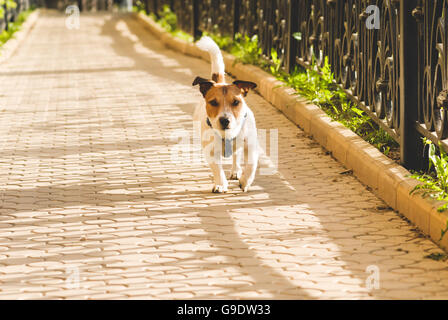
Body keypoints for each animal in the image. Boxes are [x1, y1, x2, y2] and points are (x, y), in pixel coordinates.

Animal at [192, 36, 260, 194]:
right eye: (213, 102)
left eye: (236, 102)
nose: (224, 120)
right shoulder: (211, 151)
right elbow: (217, 169)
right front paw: (220, 184)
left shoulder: (251, 146)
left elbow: (251, 165)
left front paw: (245, 181)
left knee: (236, 156)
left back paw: (236, 171)